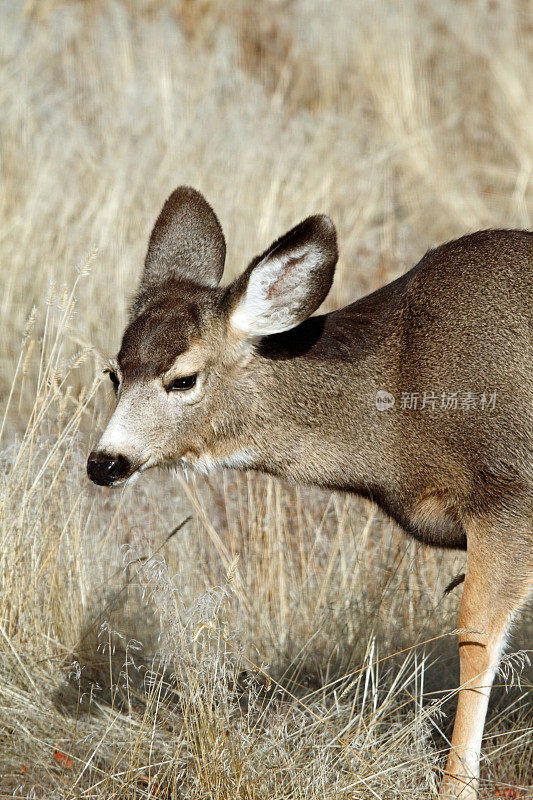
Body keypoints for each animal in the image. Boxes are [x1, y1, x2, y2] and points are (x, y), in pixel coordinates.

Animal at [88, 188, 532, 800]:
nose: (105, 462)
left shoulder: (508, 495)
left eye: (183, 378)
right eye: (114, 372)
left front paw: (457, 785)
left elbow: (476, 638)